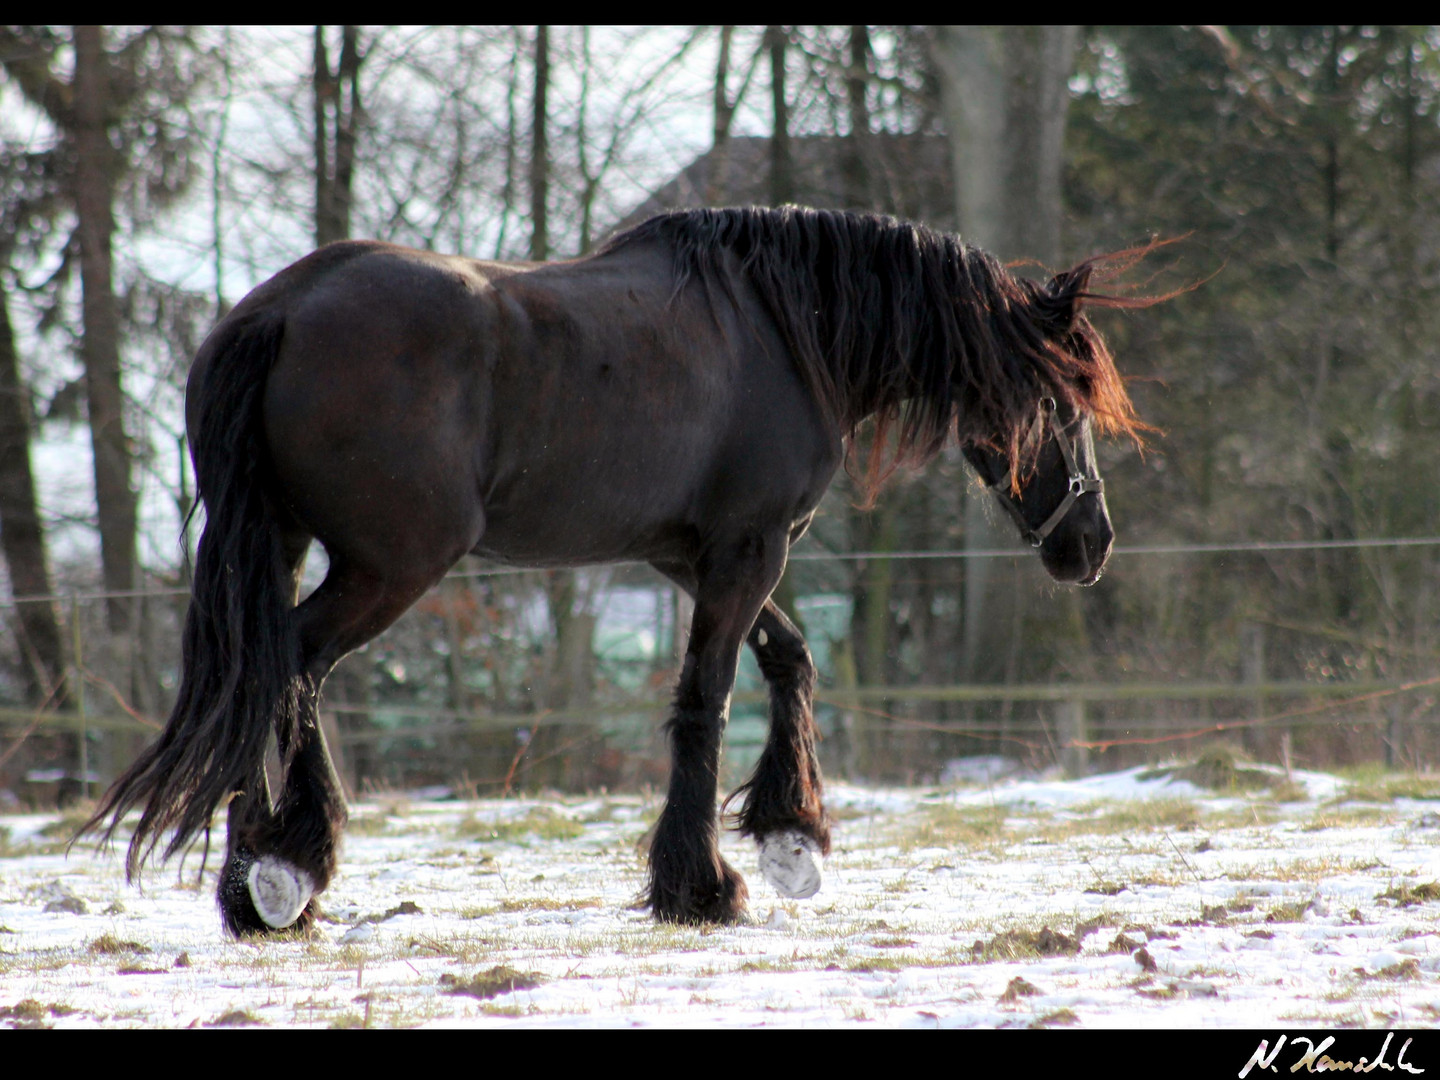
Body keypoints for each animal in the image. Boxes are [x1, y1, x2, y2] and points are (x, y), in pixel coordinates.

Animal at [87, 207, 1146, 933]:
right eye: (1063, 403)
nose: (1091, 544)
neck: (782, 330)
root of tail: (282, 310)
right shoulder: (750, 546)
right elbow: (707, 697)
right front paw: (703, 885)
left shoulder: (688, 552)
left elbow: (788, 661)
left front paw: (790, 838)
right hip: (391, 567)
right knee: (292, 669)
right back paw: (284, 871)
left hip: (291, 547)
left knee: (265, 675)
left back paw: (260, 885)